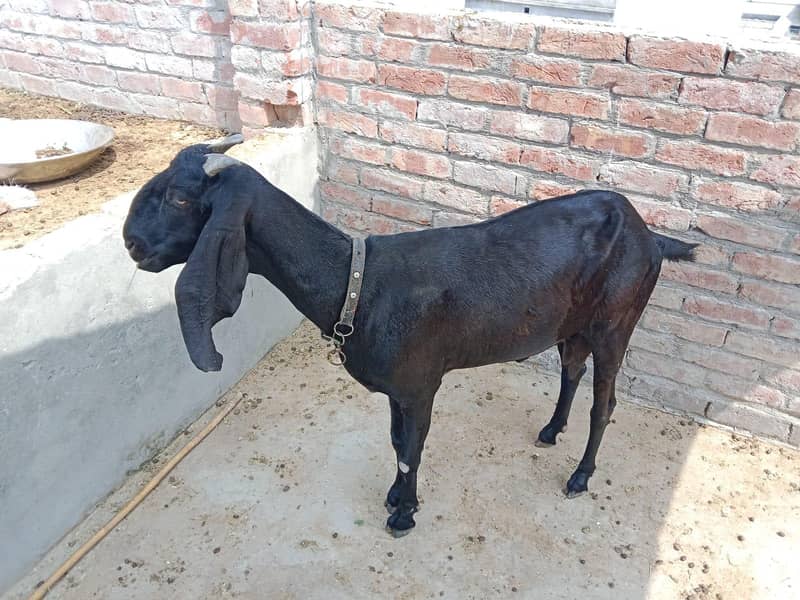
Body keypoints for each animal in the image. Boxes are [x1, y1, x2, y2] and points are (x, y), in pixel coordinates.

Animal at [123, 136, 697, 537]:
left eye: (179, 198)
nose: (131, 243)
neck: (358, 283)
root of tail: (651, 236)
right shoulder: (398, 391)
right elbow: (397, 443)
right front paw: (398, 498)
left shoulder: (421, 385)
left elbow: (412, 448)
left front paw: (403, 516)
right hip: (572, 324)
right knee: (572, 371)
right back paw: (551, 430)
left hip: (616, 323)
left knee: (606, 402)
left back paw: (579, 477)